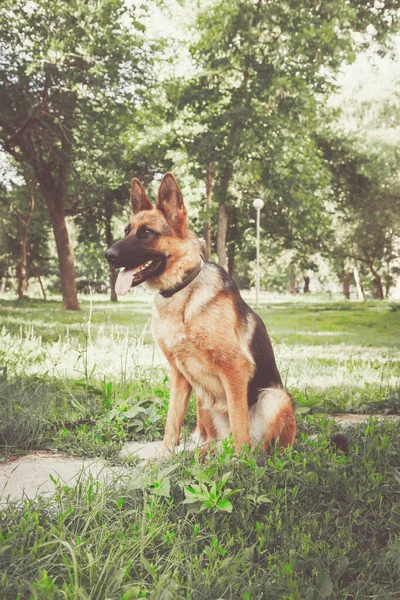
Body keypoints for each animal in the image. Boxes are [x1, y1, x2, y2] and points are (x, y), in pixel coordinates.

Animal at [106, 173, 296, 454]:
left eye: (147, 233)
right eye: (126, 231)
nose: (107, 255)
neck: (181, 291)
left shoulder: (235, 369)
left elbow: (239, 423)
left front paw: (240, 463)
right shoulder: (177, 374)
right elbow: (172, 422)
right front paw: (165, 456)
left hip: (275, 396)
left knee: (260, 446)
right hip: (203, 400)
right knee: (210, 439)